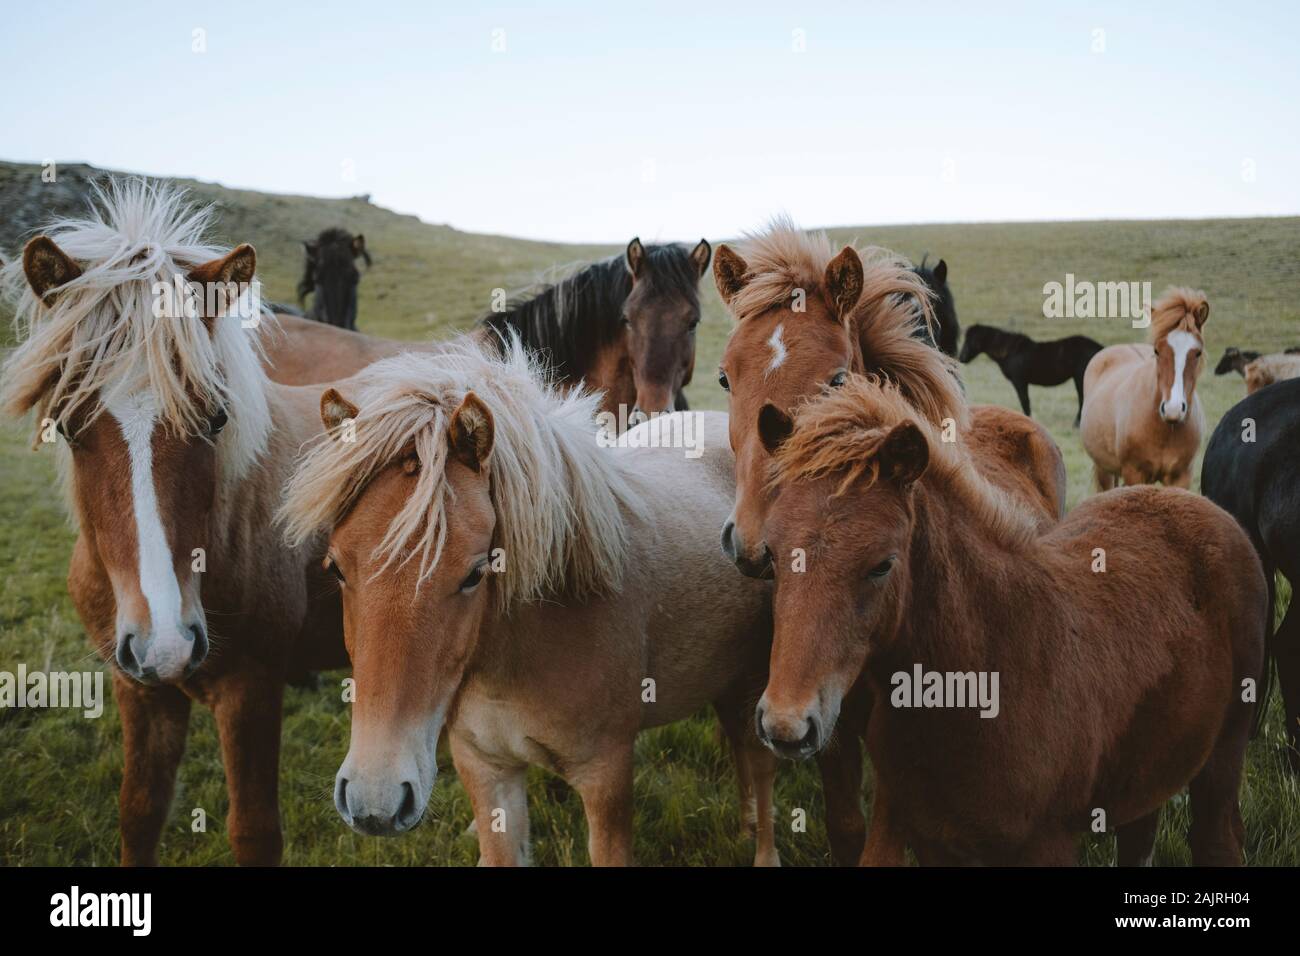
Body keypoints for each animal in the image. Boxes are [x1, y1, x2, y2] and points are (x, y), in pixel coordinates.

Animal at [0, 180, 349, 865]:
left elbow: (254, 831)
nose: (166, 641)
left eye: (216, 419)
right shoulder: (138, 685)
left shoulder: (251, 691)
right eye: (68, 424)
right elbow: (140, 811)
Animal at [278, 339, 782, 866]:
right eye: (336, 568)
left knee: (760, 768)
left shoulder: (606, 777)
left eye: (475, 574)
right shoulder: (487, 770)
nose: (374, 801)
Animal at [753, 375, 1267, 865]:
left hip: (1223, 756)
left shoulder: (1047, 844)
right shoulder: (933, 841)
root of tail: (1196, 506)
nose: (786, 725)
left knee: (1218, 841)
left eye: (882, 565)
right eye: (772, 557)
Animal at [958, 325, 1103, 425]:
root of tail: (1099, 349)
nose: (961, 358)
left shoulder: (1020, 382)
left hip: (1079, 378)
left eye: (969, 341)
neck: (1011, 351)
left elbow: (1025, 401)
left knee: (1082, 399)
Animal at [1080, 288, 1209, 489]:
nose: (1172, 409)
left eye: (1197, 353)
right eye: (1157, 350)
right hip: (1104, 469)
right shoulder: (1134, 473)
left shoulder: (1181, 478)